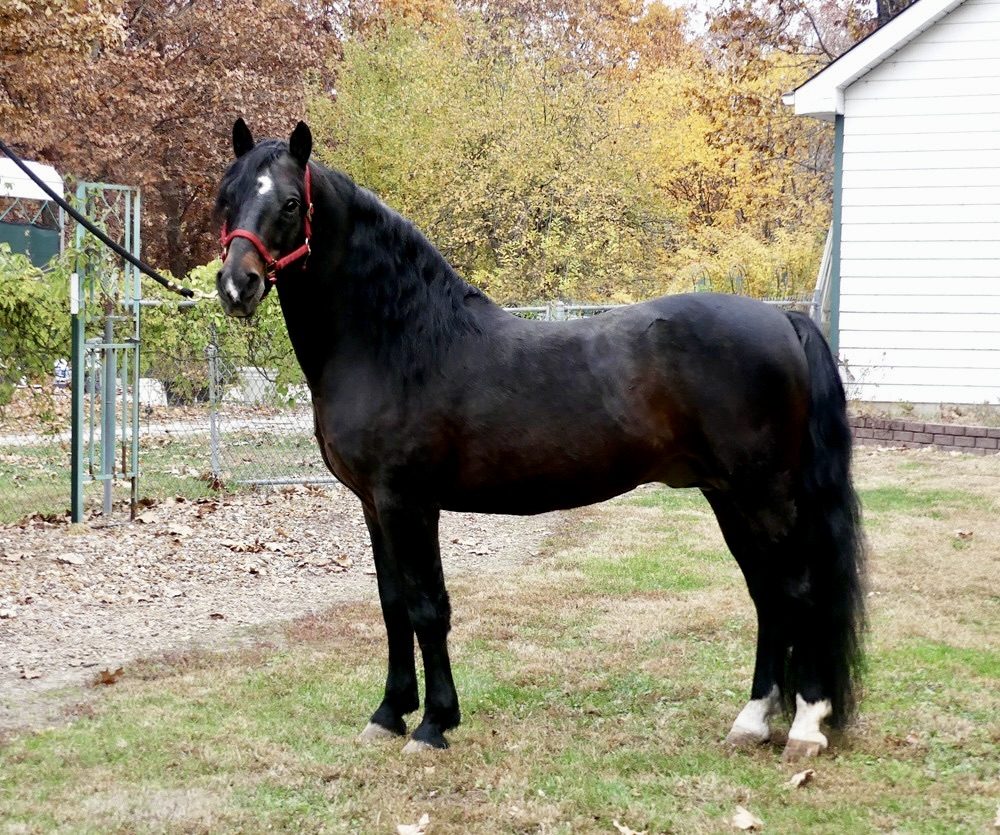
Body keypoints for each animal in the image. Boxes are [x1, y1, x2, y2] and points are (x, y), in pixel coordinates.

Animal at [213, 119, 865, 761]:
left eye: (291, 203)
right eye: (227, 197)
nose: (236, 285)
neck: (399, 342)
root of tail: (783, 319)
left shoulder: (409, 503)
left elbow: (428, 607)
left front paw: (433, 724)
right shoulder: (374, 506)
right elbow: (393, 605)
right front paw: (389, 713)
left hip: (765, 498)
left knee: (800, 591)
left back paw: (806, 725)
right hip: (729, 497)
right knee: (768, 594)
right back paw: (753, 720)